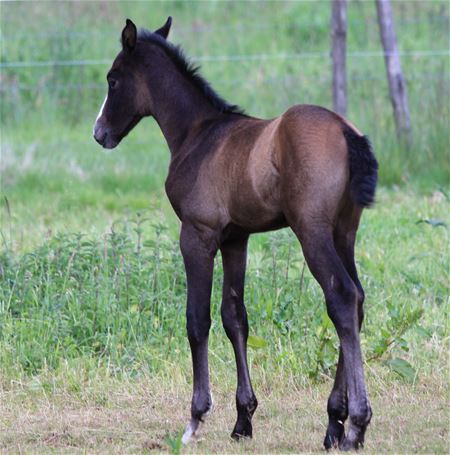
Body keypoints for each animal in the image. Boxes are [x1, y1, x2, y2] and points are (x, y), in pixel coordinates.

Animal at [93, 18, 378, 452]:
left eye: (113, 79)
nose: (99, 133)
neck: (197, 134)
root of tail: (346, 131)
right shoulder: (235, 239)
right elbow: (234, 317)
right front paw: (243, 420)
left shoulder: (197, 235)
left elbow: (197, 319)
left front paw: (196, 418)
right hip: (344, 232)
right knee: (357, 299)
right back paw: (334, 424)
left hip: (312, 232)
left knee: (342, 298)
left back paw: (355, 426)